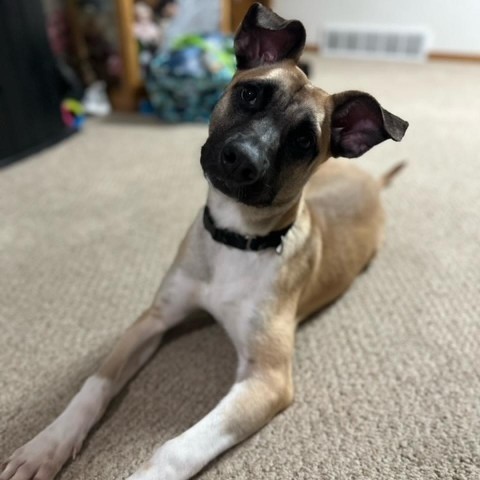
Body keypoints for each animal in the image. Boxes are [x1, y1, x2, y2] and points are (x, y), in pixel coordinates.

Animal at [0, 4, 408, 480]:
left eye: (304, 140)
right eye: (250, 95)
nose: (243, 160)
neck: (234, 241)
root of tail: (373, 182)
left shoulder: (266, 380)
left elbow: (178, 449)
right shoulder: (153, 318)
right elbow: (94, 384)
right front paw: (47, 445)